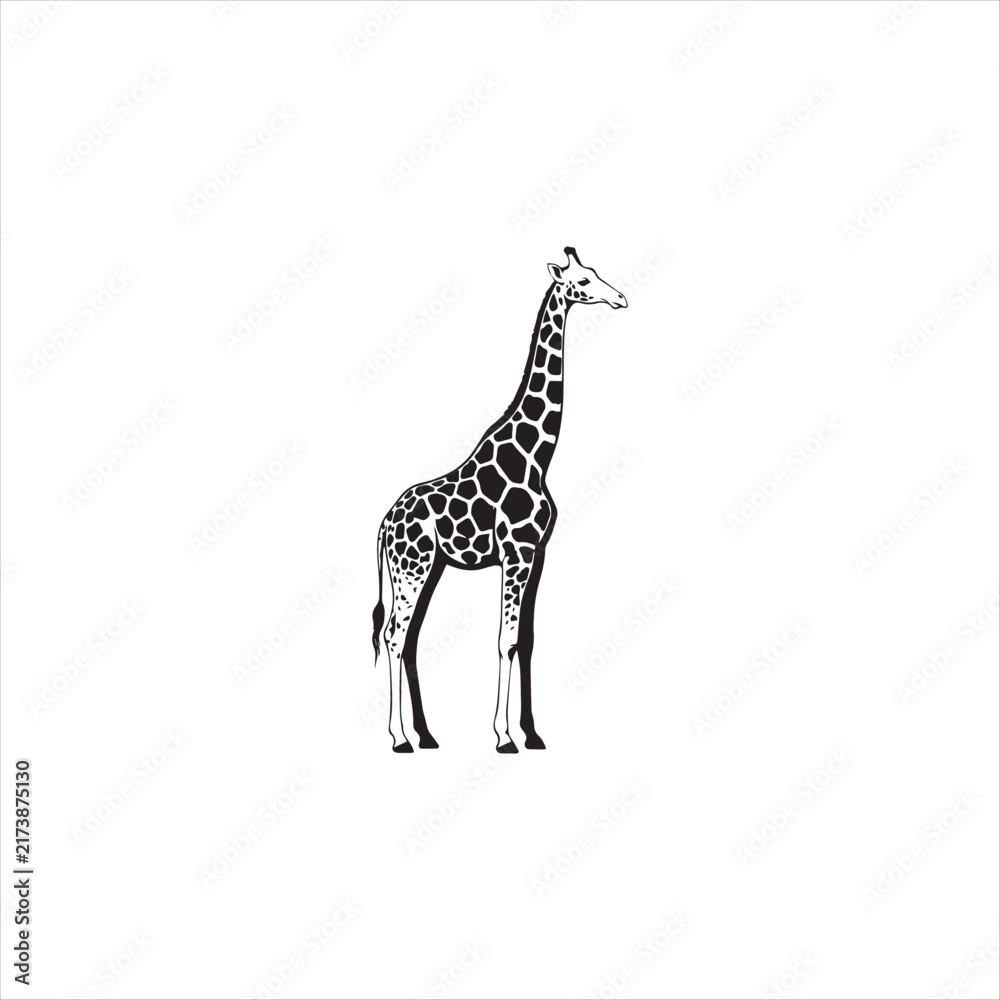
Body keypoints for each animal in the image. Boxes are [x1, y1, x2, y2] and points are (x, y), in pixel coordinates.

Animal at [372, 247, 628, 753]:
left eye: (596, 273)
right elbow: (505, 640)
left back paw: (426, 735)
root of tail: (384, 524)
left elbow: (525, 639)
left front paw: (532, 733)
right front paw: (504, 736)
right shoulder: (516, 553)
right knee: (394, 636)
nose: (621, 298)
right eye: (584, 280)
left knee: (410, 638)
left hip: (429, 566)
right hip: (411, 566)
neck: (537, 454)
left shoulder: (537, 554)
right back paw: (399, 738)